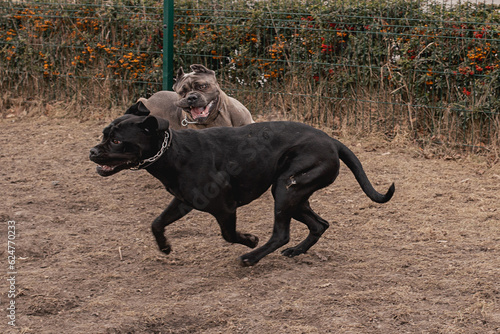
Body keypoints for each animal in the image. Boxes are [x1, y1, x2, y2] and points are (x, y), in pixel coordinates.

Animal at [90, 112, 394, 266]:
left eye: (116, 140)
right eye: (105, 134)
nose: (92, 151)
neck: (173, 152)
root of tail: (332, 141)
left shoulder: (225, 207)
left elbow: (228, 234)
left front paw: (249, 240)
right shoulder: (183, 201)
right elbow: (156, 223)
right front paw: (164, 247)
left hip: (285, 190)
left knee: (281, 234)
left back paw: (251, 257)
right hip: (293, 194)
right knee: (319, 224)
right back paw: (296, 251)